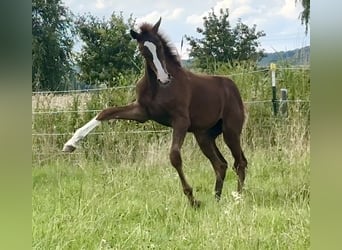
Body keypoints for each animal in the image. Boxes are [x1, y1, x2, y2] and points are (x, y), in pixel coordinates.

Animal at [62, 18, 247, 207]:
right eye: (143, 50)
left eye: (159, 46)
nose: (164, 78)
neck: (158, 88)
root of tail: (232, 87)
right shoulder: (141, 112)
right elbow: (106, 112)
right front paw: (70, 144)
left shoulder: (181, 121)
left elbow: (174, 156)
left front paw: (192, 198)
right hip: (204, 135)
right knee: (221, 164)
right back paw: (216, 199)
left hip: (230, 131)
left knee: (239, 163)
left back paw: (238, 199)